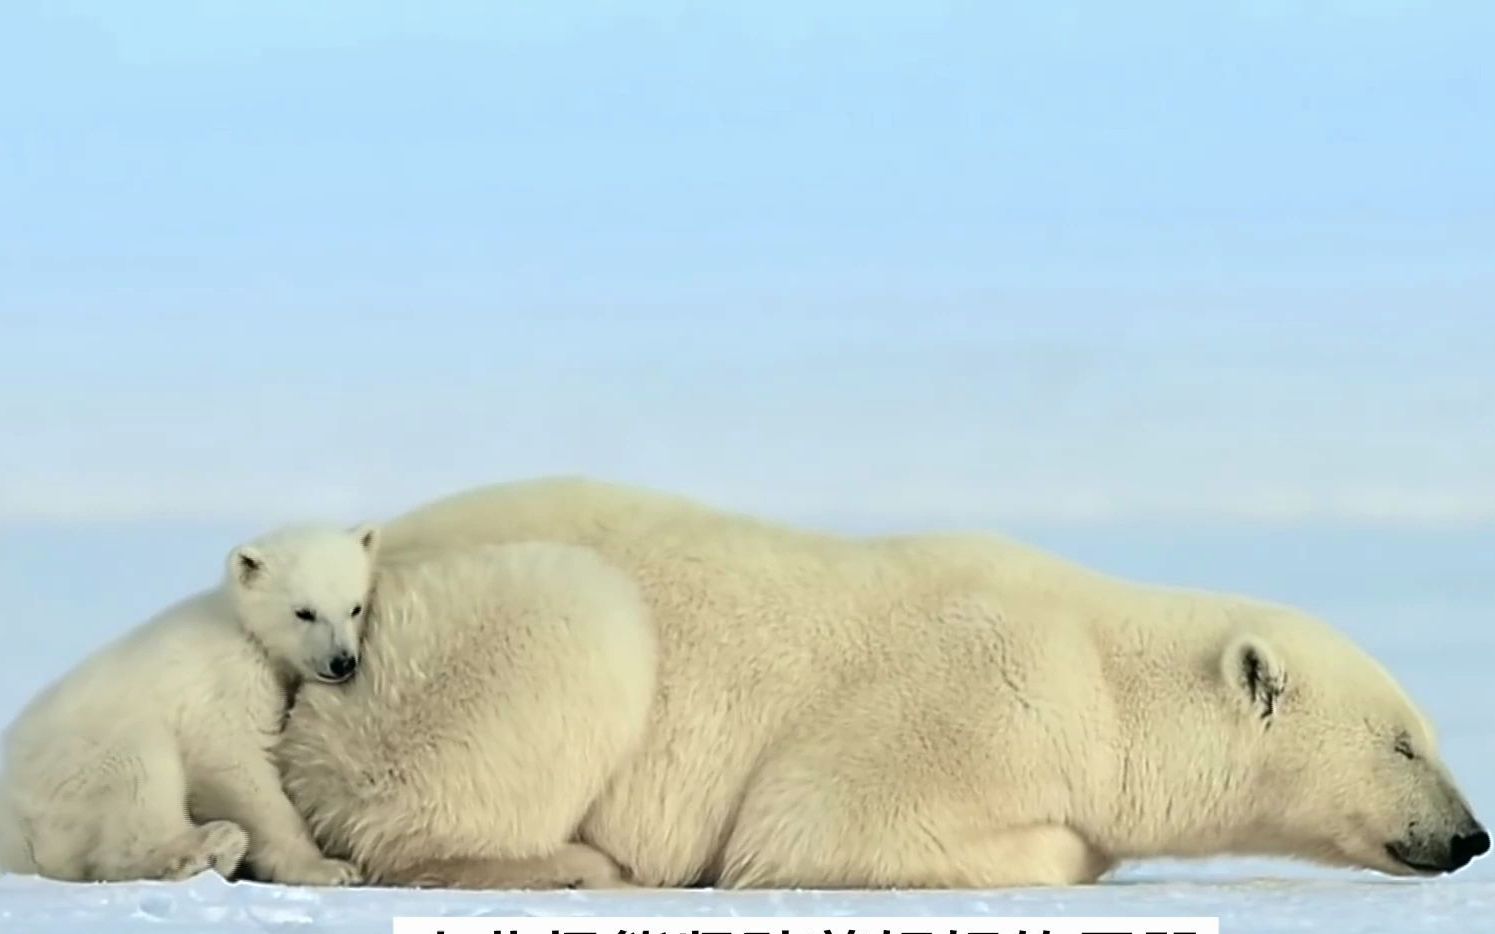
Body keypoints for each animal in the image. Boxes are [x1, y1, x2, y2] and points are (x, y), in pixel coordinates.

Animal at [0, 523, 377, 886]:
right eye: (304, 612)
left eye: (354, 608)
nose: (342, 662)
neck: (246, 633)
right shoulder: (226, 683)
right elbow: (236, 762)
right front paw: (327, 868)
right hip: (73, 771)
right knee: (139, 772)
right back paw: (213, 845)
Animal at [275, 476, 1488, 889]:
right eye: (1405, 742)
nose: (1468, 835)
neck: (1100, 678)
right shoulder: (976, 698)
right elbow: (823, 822)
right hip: (432, 653)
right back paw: (576, 864)